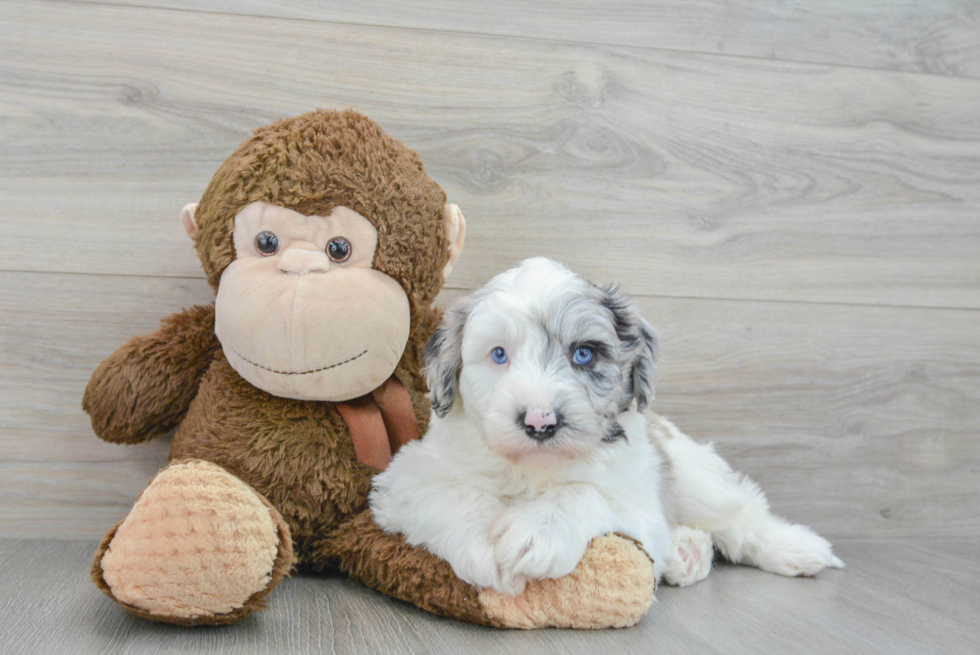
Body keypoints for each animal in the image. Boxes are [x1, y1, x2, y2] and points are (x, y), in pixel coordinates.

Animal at [368, 258, 844, 596]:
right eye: (499, 354)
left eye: (584, 354)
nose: (540, 421)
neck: (533, 467)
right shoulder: (406, 478)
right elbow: (455, 494)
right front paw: (485, 545)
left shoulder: (637, 497)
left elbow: (585, 491)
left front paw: (537, 531)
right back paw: (685, 552)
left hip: (694, 475)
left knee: (741, 514)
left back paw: (794, 548)